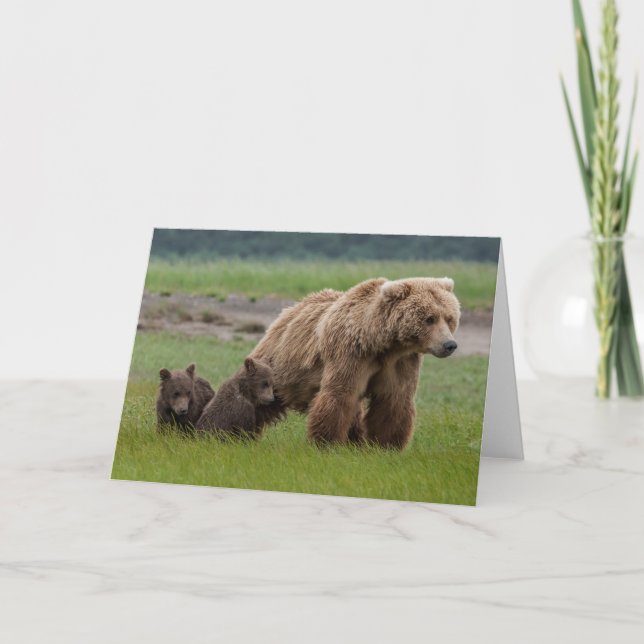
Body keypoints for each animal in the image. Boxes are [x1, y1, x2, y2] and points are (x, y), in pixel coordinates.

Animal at [249, 277, 460, 449]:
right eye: (429, 319)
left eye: (449, 318)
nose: (449, 345)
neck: (380, 343)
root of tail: (291, 308)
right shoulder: (351, 354)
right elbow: (340, 395)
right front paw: (326, 442)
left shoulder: (400, 361)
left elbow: (394, 400)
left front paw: (386, 445)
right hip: (282, 366)